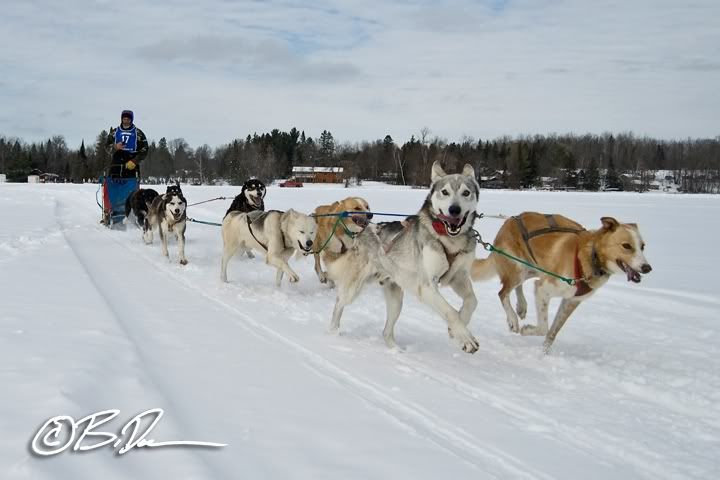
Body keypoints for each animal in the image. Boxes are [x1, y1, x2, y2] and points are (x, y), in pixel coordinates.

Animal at [472, 212, 652, 350]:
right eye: (626, 246)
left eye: (642, 246)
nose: (647, 268)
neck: (590, 256)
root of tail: (509, 221)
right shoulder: (543, 289)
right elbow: (544, 328)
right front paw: (526, 331)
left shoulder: (571, 301)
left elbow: (552, 333)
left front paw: (544, 354)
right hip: (519, 269)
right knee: (503, 292)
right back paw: (513, 320)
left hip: (532, 270)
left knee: (515, 288)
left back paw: (521, 306)